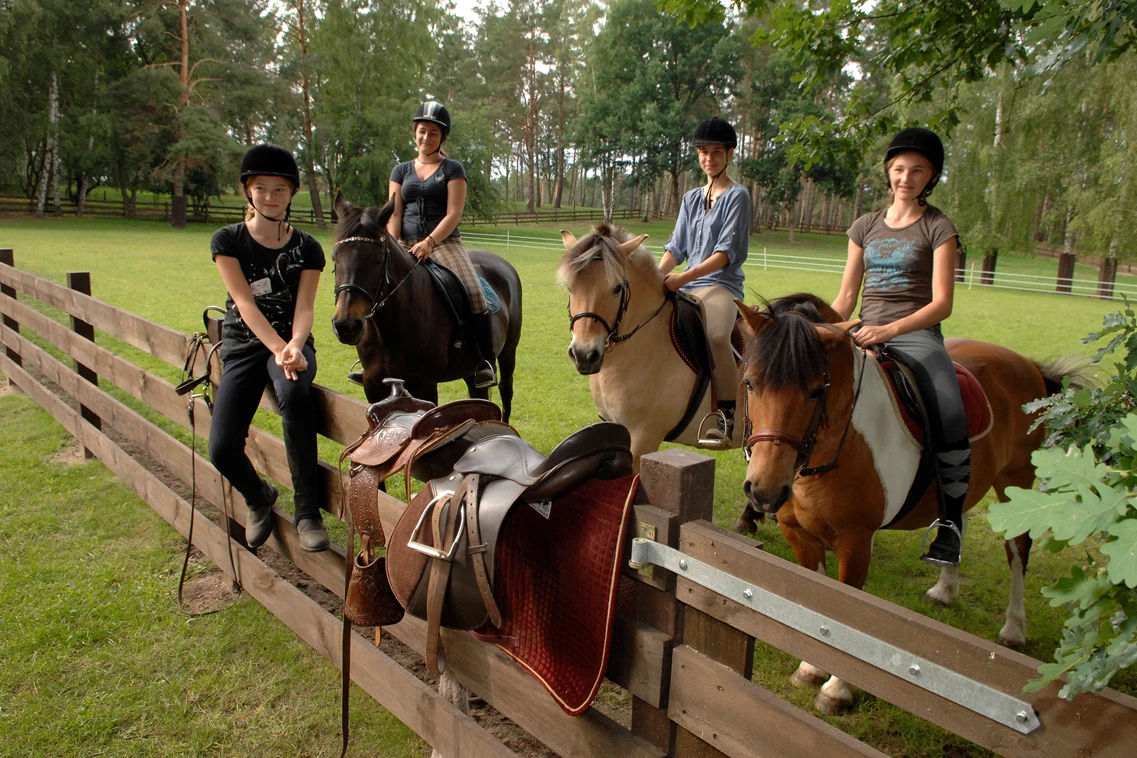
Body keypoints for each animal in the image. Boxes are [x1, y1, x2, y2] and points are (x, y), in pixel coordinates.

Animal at [332, 190, 520, 420]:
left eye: (377, 260)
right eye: (335, 259)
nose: (346, 326)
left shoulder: (425, 385)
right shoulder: (372, 384)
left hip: (508, 352)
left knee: (506, 391)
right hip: (470, 368)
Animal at [732, 293, 1086, 713]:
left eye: (816, 390)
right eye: (750, 383)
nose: (765, 490)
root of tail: (1026, 363)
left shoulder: (856, 541)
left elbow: (847, 611)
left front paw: (835, 689)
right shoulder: (798, 534)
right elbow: (816, 600)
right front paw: (810, 667)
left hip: (1016, 481)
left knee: (1017, 549)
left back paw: (1014, 628)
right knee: (960, 517)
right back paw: (945, 588)